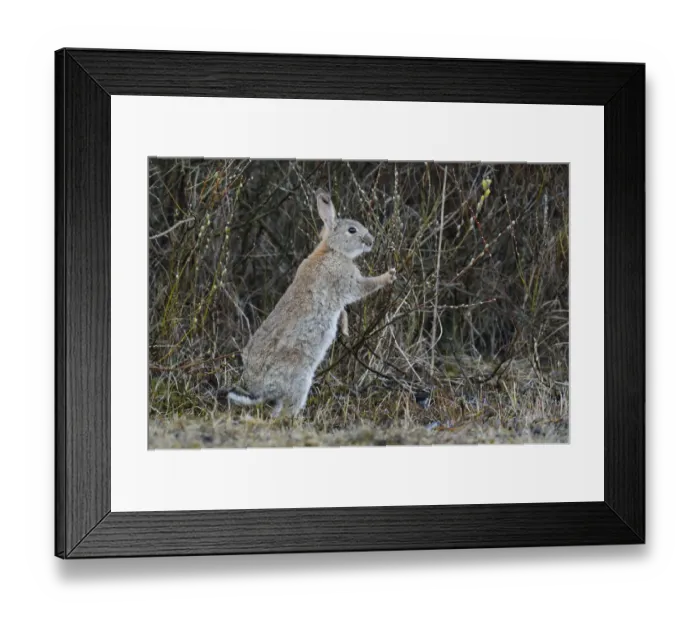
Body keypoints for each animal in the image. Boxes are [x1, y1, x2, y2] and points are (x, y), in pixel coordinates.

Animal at [222, 189, 397, 418]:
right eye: (352, 230)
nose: (370, 241)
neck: (332, 250)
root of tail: (258, 389)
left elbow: (343, 311)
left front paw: (345, 329)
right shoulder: (347, 282)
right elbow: (365, 287)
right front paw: (389, 276)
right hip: (300, 379)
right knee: (286, 411)